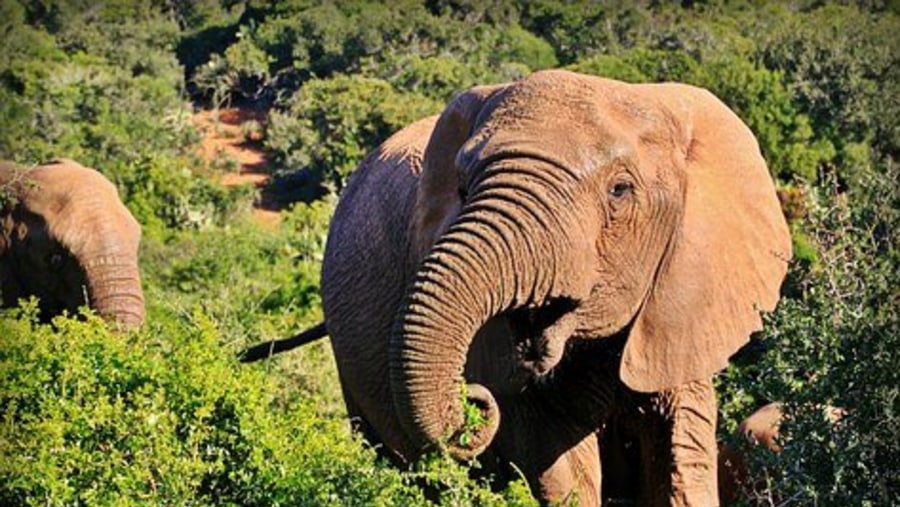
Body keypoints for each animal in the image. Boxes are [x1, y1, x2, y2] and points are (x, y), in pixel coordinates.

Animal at [243, 69, 792, 506]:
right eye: (463, 188)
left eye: (620, 191)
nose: (472, 401)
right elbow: (557, 463)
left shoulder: (683, 299)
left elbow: (681, 454)